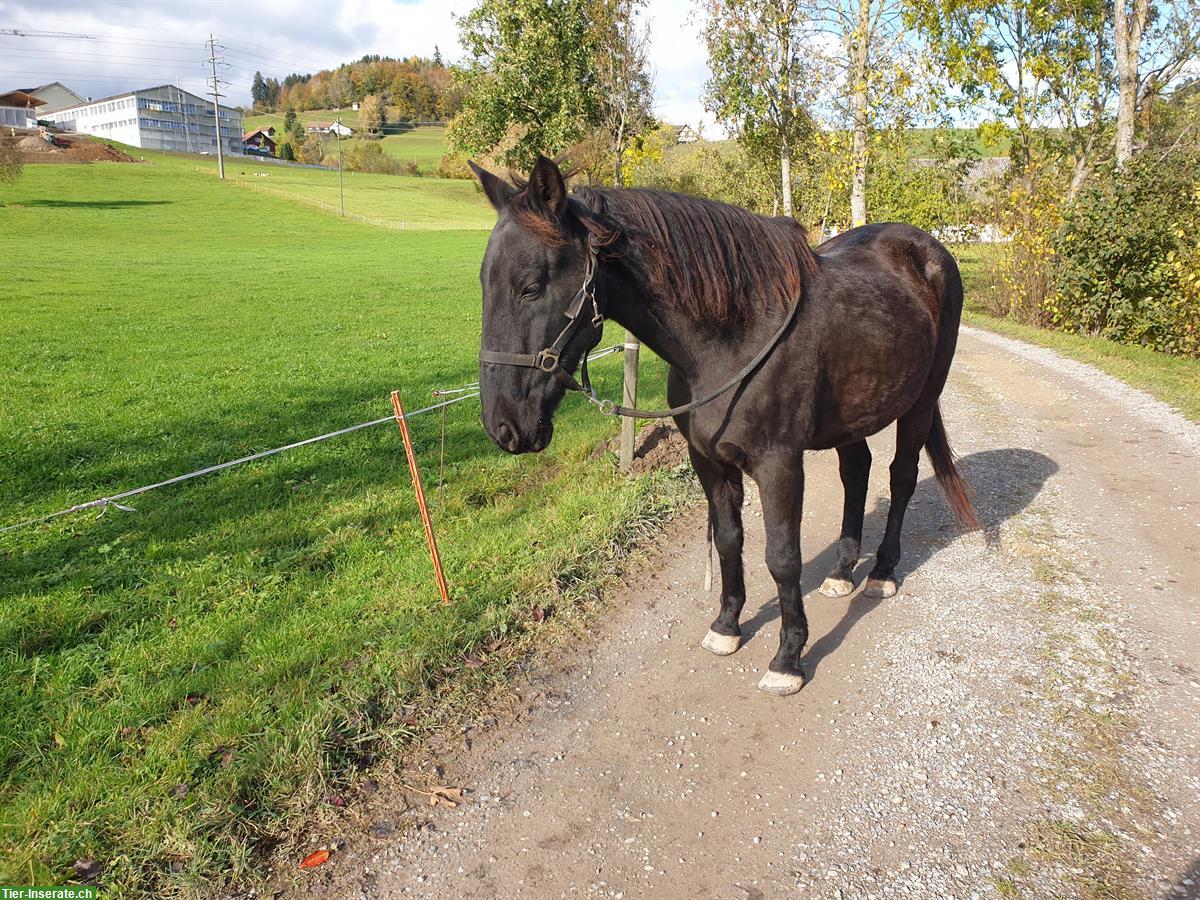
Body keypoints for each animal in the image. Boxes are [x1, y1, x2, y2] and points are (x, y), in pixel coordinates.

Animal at [468, 157, 974, 696]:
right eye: (484, 285)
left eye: (530, 287)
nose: (503, 426)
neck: (733, 336)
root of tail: (925, 249)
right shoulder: (707, 460)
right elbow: (730, 540)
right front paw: (728, 626)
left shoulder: (779, 465)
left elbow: (782, 557)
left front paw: (788, 658)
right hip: (852, 418)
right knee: (857, 471)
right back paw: (842, 571)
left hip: (921, 402)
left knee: (901, 478)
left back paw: (881, 571)